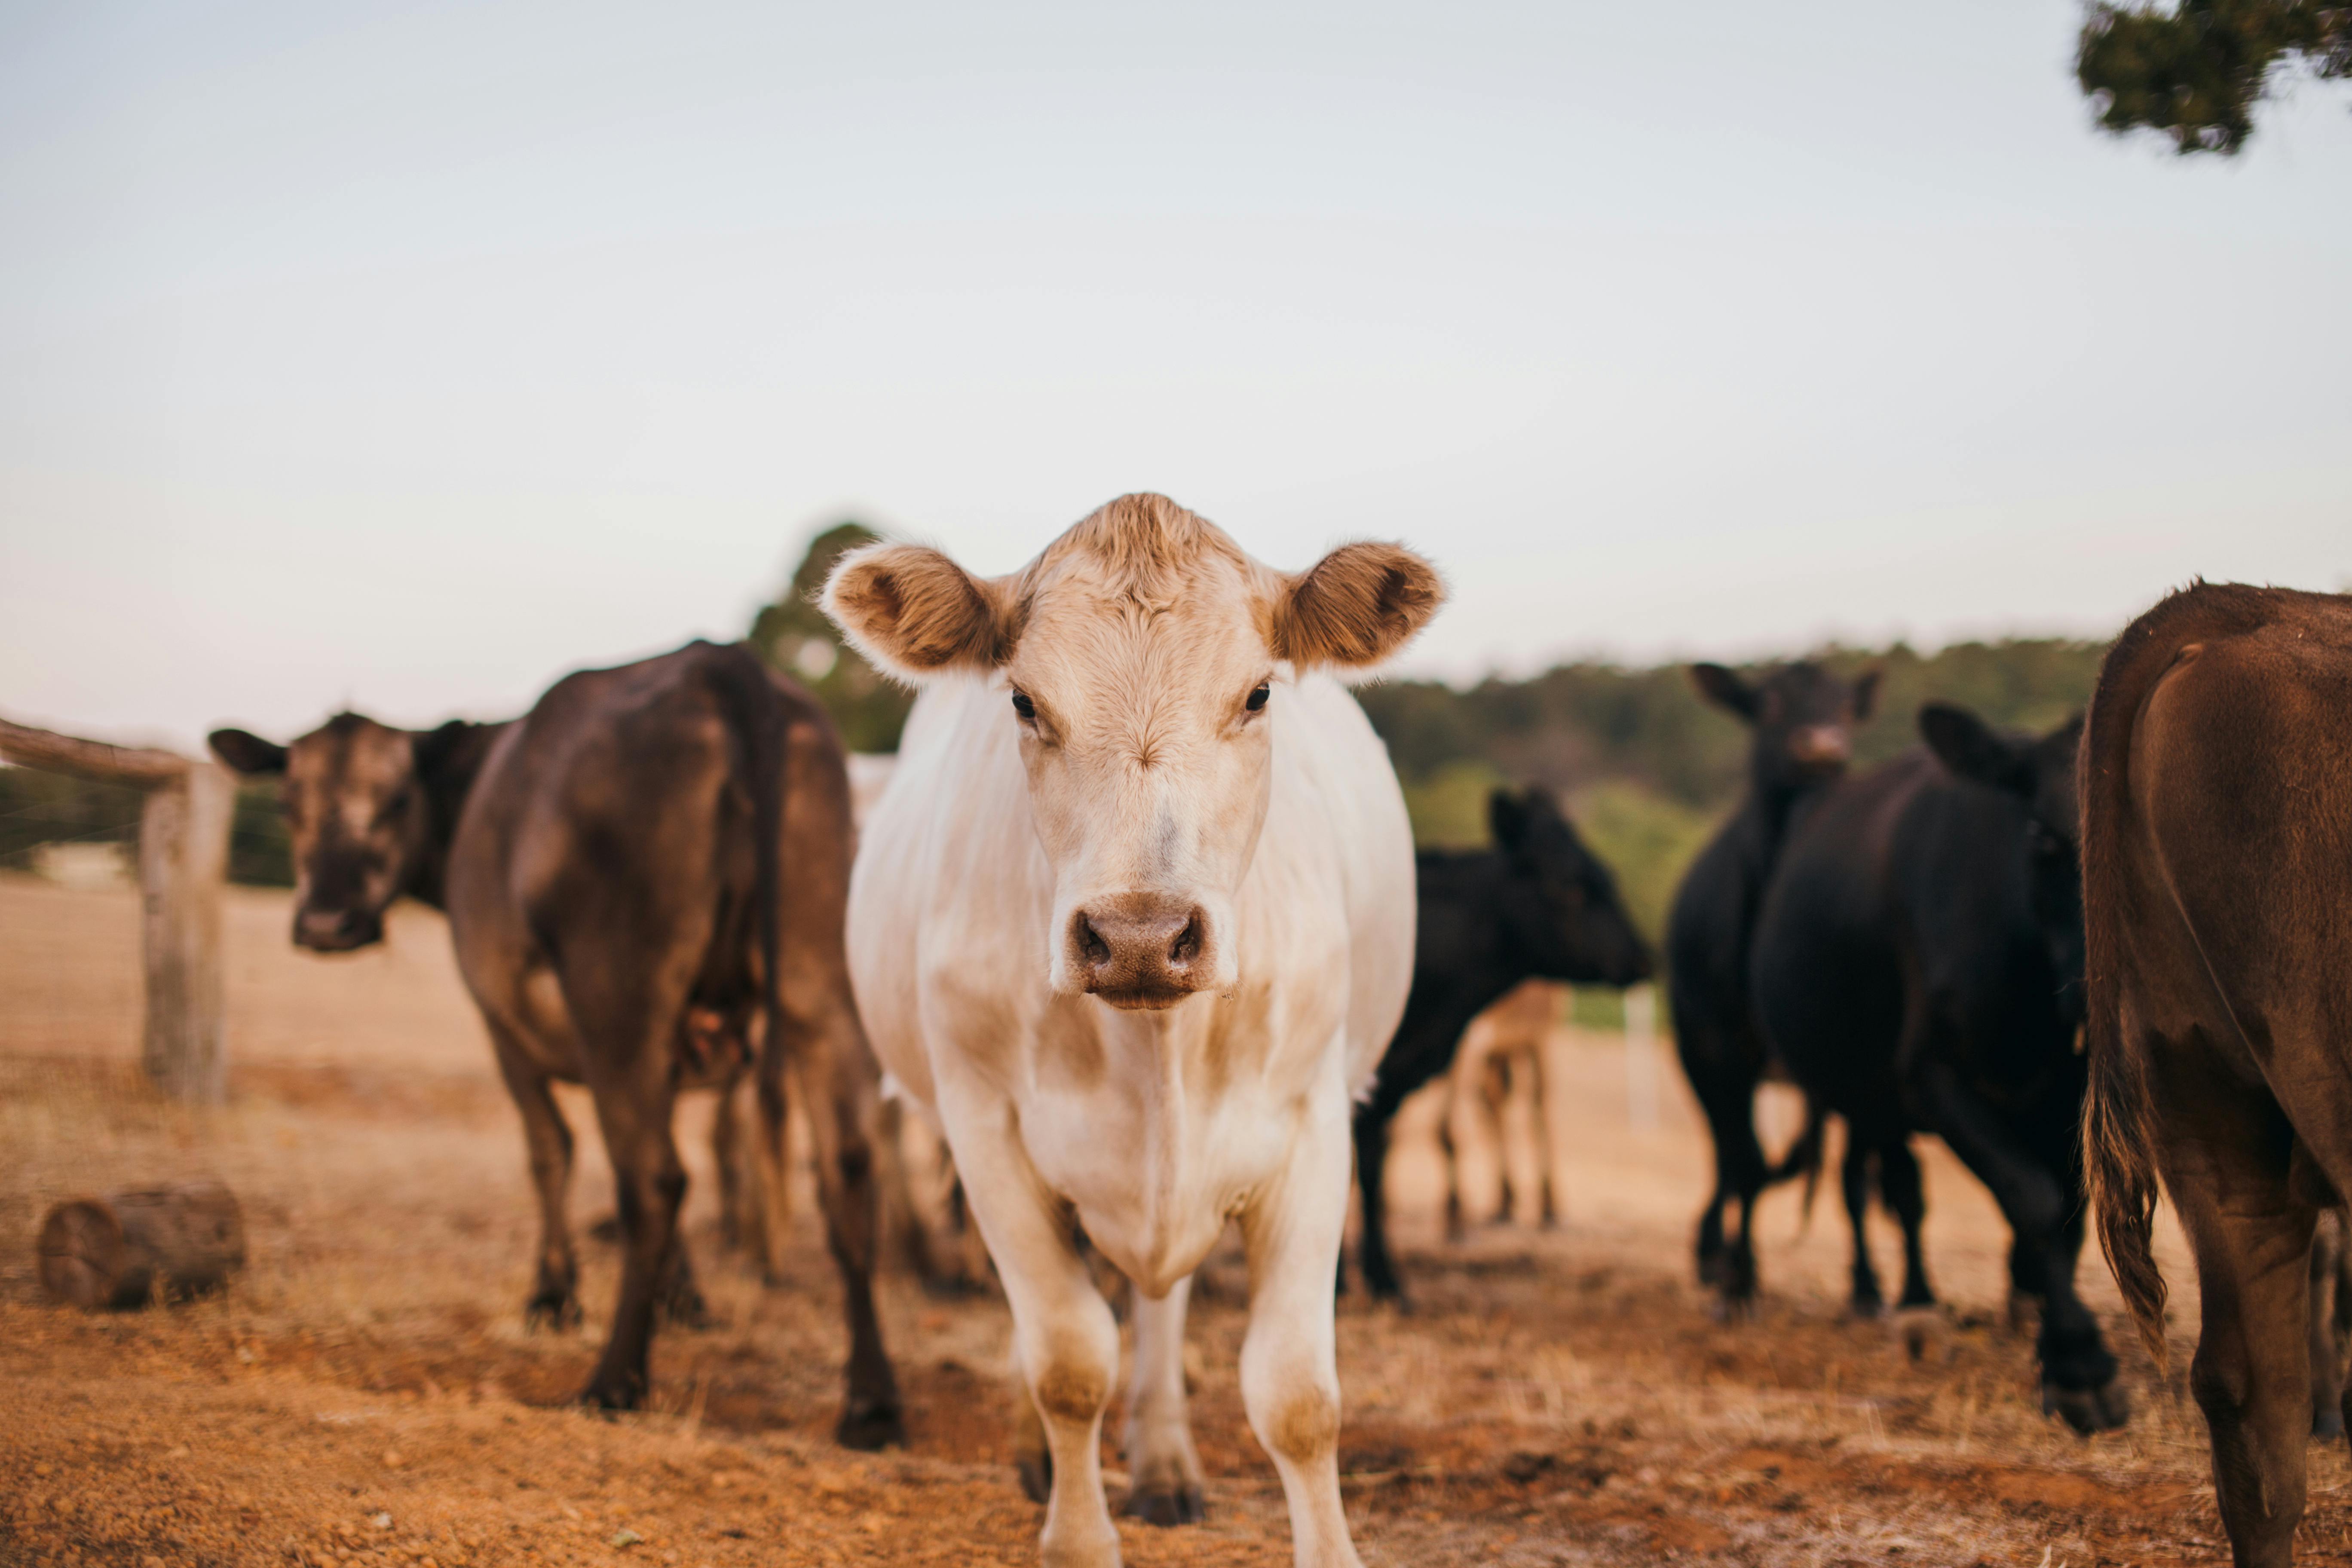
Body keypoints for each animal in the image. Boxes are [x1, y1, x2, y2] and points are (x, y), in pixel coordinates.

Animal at [208, 641, 902, 1445]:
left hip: (619, 994)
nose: (326, 923)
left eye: (397, 801)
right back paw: (872, 1402)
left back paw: (614, 1380)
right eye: (288, 802)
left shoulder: (500, 1018)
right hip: (820, 978)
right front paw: (684, 1296)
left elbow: (550, 1149)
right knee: (845, 1168)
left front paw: (553, 1296)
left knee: (653, 1177)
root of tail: (717, 661)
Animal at [822, 493, 1441, 1568]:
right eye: (1025, 703)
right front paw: (1075, 1532)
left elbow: (1298, 1394)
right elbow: (1068, 1358)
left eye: (1258, 695)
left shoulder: (1313, 1124)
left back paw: (1163, 1459)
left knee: (1161, 1302)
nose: (1141, 938)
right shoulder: (983, 1128)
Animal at [1665, 661, 1873, 1310]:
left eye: (1847, 707)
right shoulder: (1720, 1044)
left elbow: (1846, 1174)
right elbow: (1747, 1160)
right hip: (1698, 1052)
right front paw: (1739, 1277)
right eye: (1771, 704)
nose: (1823, 746)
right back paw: (1716, 1252)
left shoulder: (1843, 1056)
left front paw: (1867, 1285)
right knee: (1728, 1151)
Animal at [1746, 701, 2127, 1432]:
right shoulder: (1931, 1074)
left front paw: (2049, 1338)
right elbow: (2032, 1198)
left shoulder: (2074, 1092)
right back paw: (1910, 1304)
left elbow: (2068, 1212)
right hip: (1865, 1090)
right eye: (2043, 838)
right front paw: (2078, 1368)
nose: (2102, 987)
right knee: (1890, 1187)